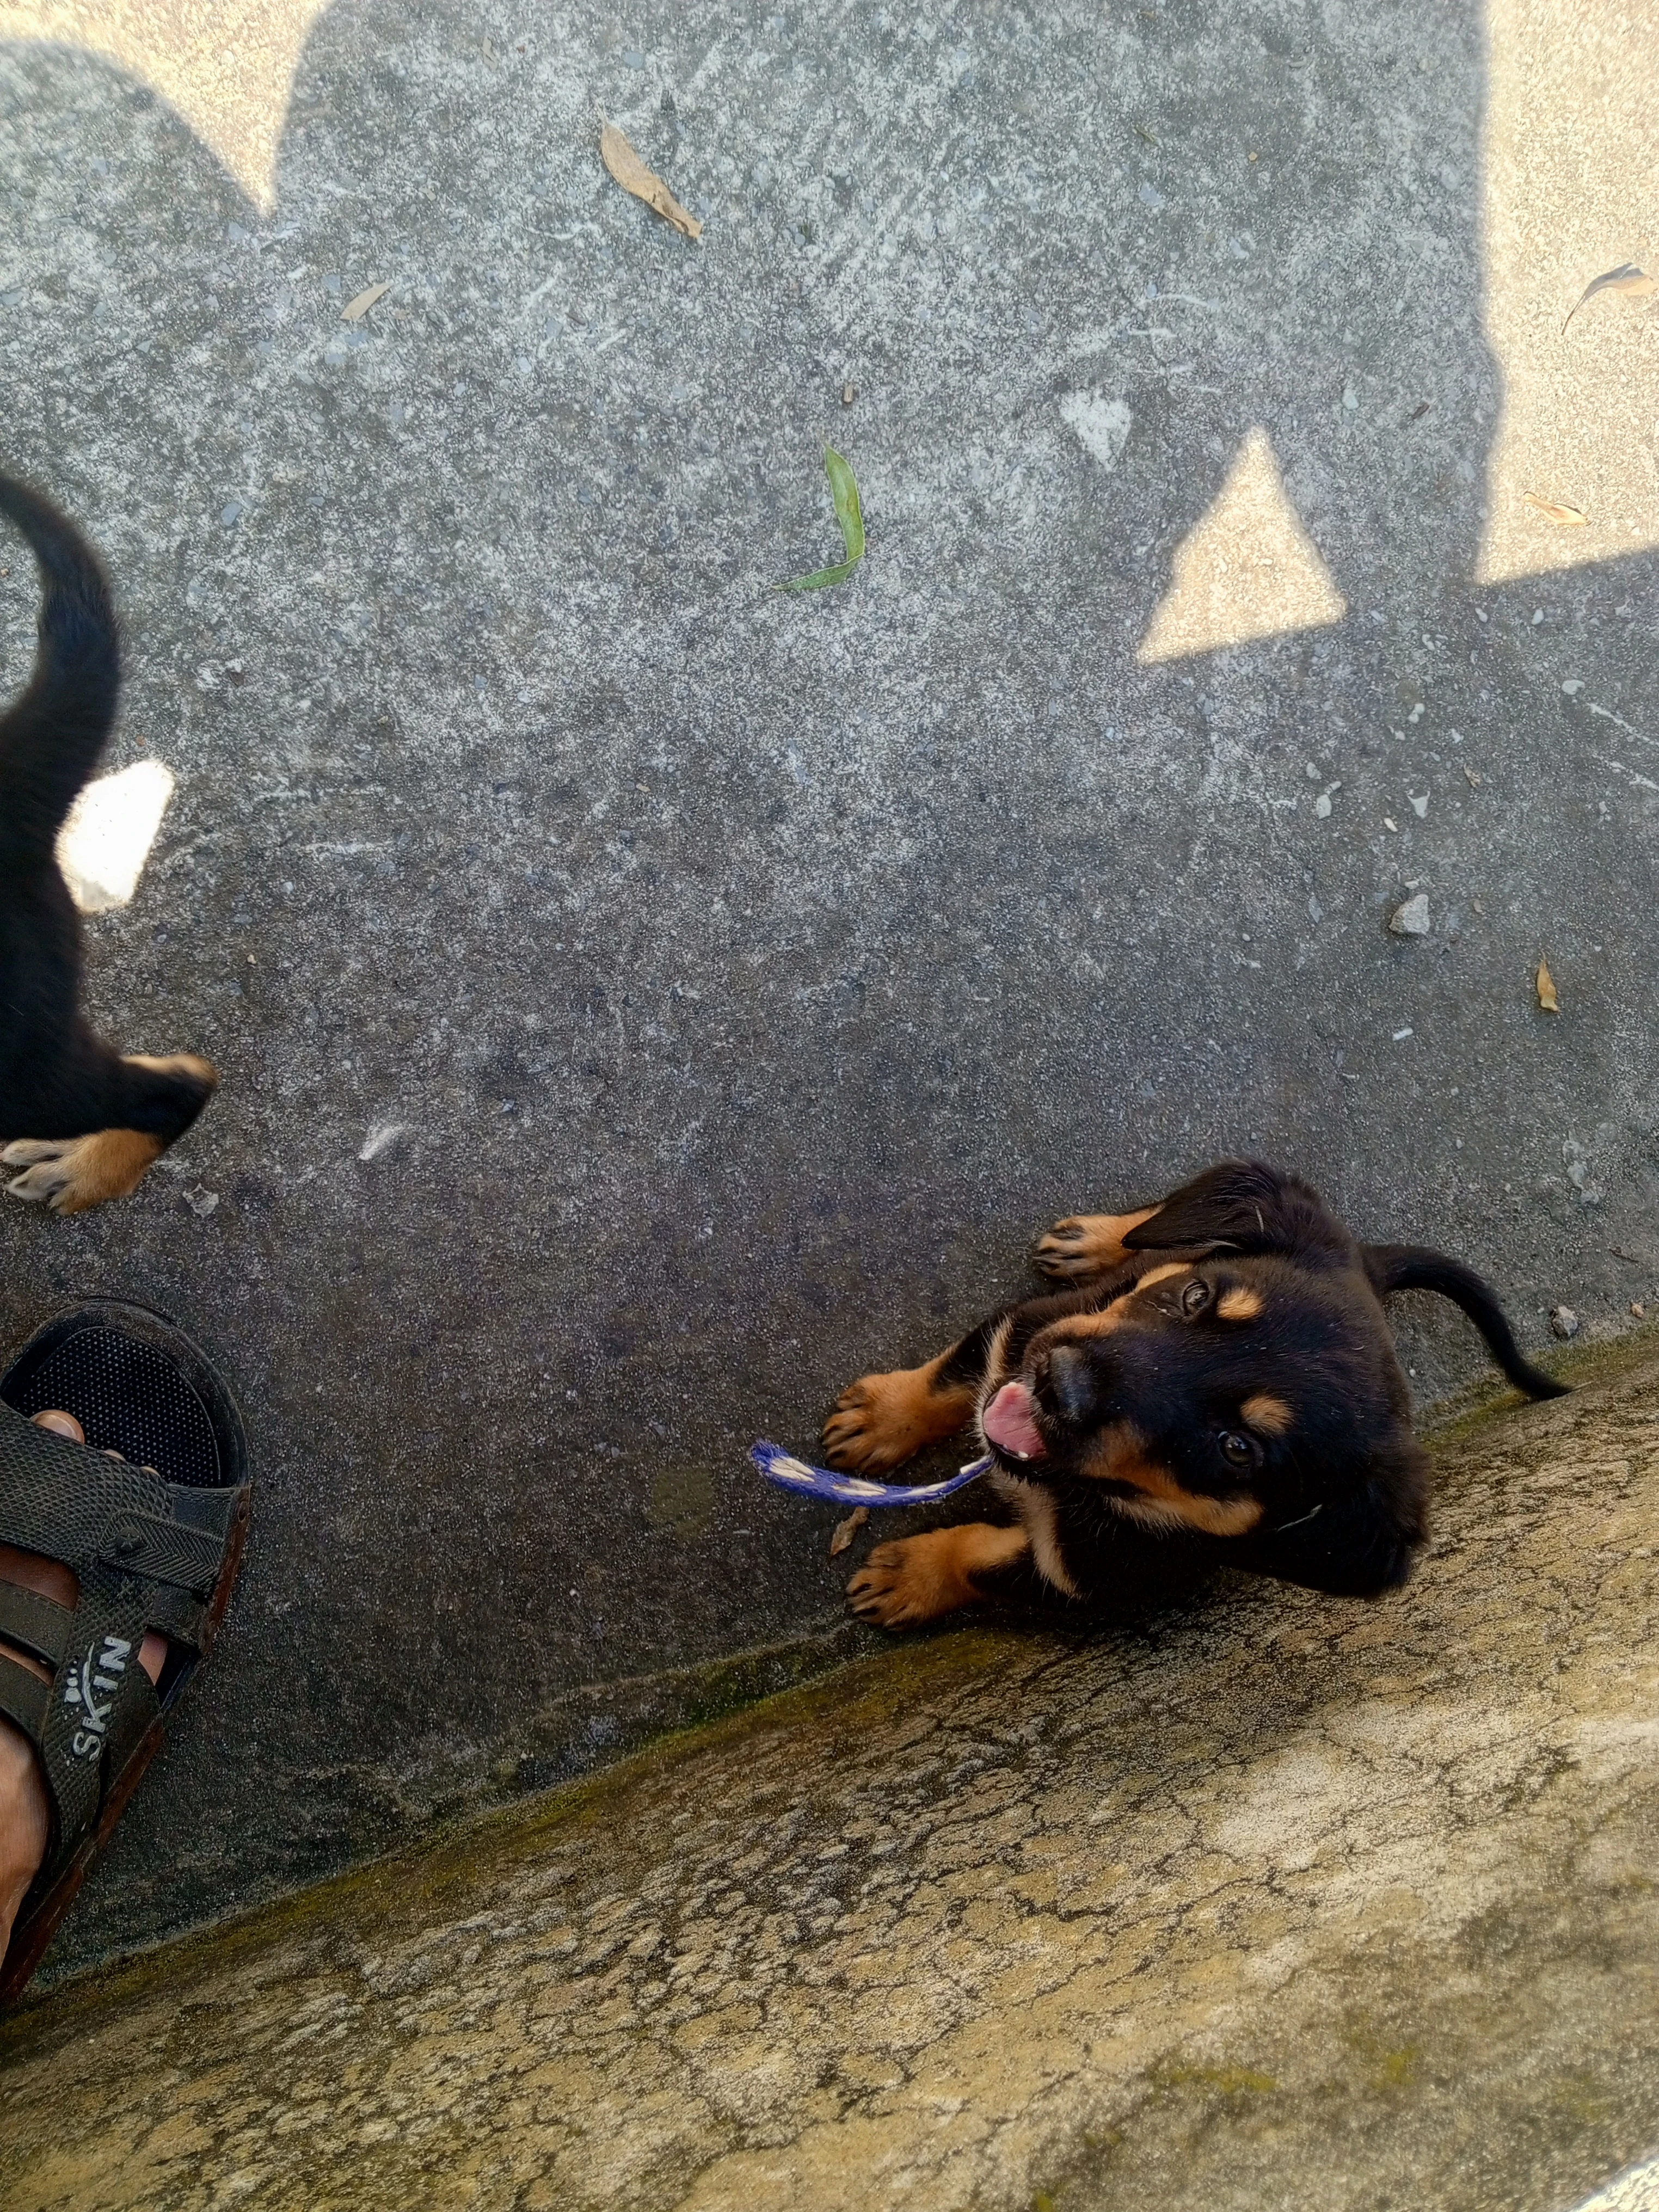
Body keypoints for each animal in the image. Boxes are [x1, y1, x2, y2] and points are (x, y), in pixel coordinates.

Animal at [832, 1168, 1575, 1637]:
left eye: (1237, 1448)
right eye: (1196, 1297)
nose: (1056, 1382)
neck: (1078, 1491)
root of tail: (1368, 1264)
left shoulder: (1084, 1578)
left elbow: (981, 1562)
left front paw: (909, 1577)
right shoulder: (1016, 1333)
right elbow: (949, 1380)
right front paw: (881, 1418)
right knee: (1172, 1222)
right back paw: (1101, 1237)